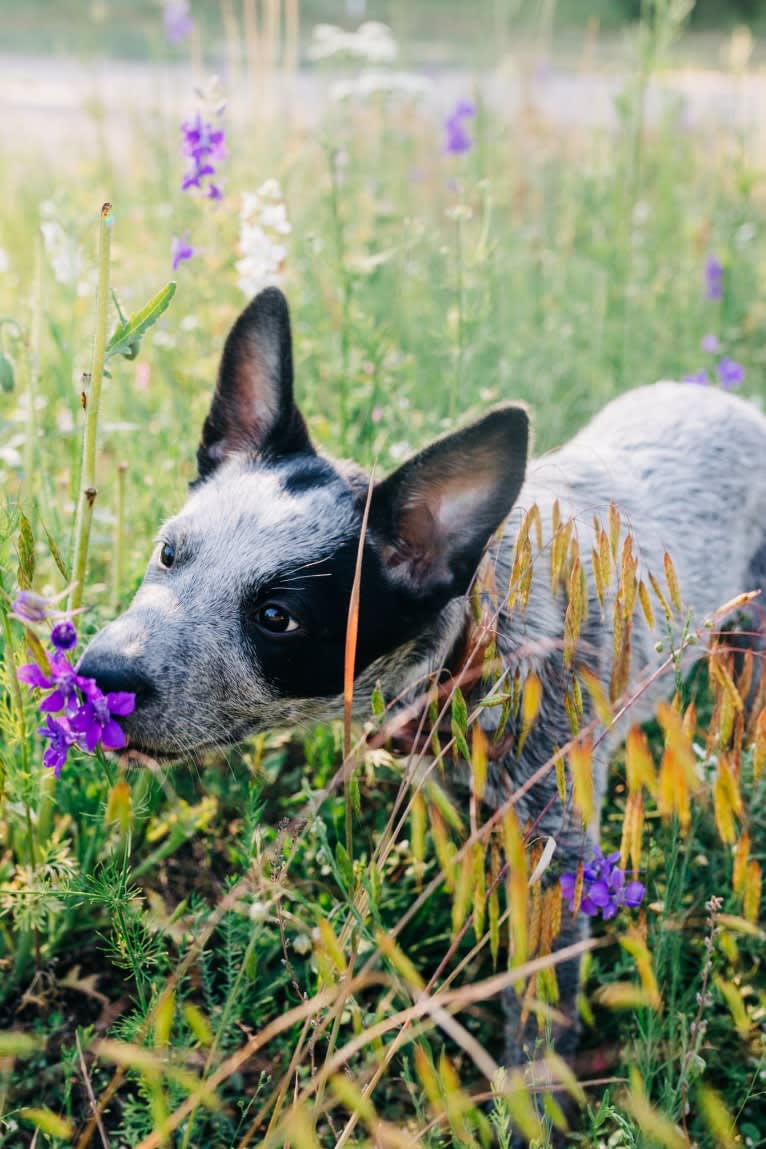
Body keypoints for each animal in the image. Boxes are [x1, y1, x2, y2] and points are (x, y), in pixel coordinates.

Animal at [79, 284, 766, 1075]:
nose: (96, 679)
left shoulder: (557, 847)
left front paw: (530, 1090)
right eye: (169, 553)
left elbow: (539, 1000)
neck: (481, 644)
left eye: (278, 617)